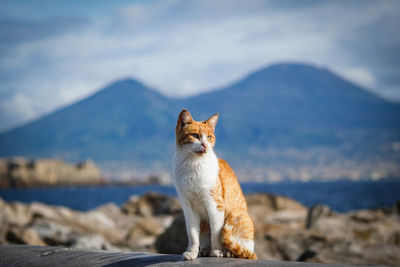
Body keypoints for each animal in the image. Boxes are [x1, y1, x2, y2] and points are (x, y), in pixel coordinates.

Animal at [173, 109, 258, 262]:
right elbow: (192, 234)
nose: (205, 145)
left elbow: (216, 232)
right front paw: (192, 252)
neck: (193, 164)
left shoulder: (215, 204)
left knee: (243, 250)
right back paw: (205, 250)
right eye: (195, 135)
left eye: (209, 137)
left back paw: (228, 252)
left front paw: (217, 251)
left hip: (236, 215)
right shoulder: (188, 206)